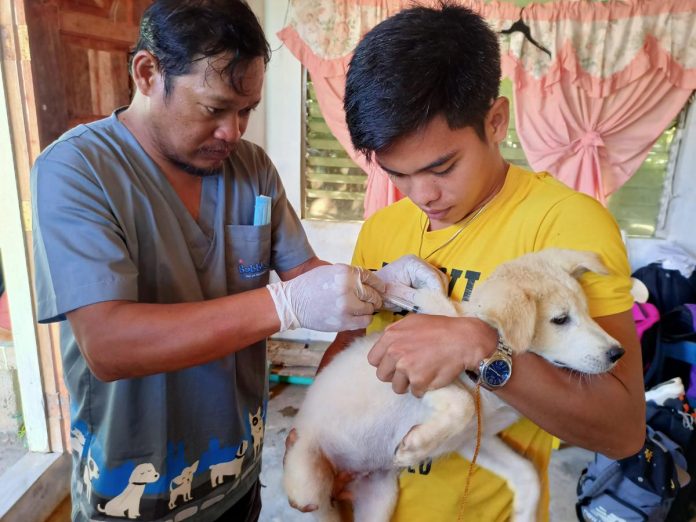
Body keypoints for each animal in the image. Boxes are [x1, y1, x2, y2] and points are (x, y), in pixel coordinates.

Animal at [284, 248, 624, 520]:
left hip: (380, 497)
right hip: (308, 488)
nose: (617, 353)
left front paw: (524, 514)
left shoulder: (472, 439)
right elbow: (462, 402)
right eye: (561, 319)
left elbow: (527, 474)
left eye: (587, 312)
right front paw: (413, 448)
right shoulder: (410, 372)